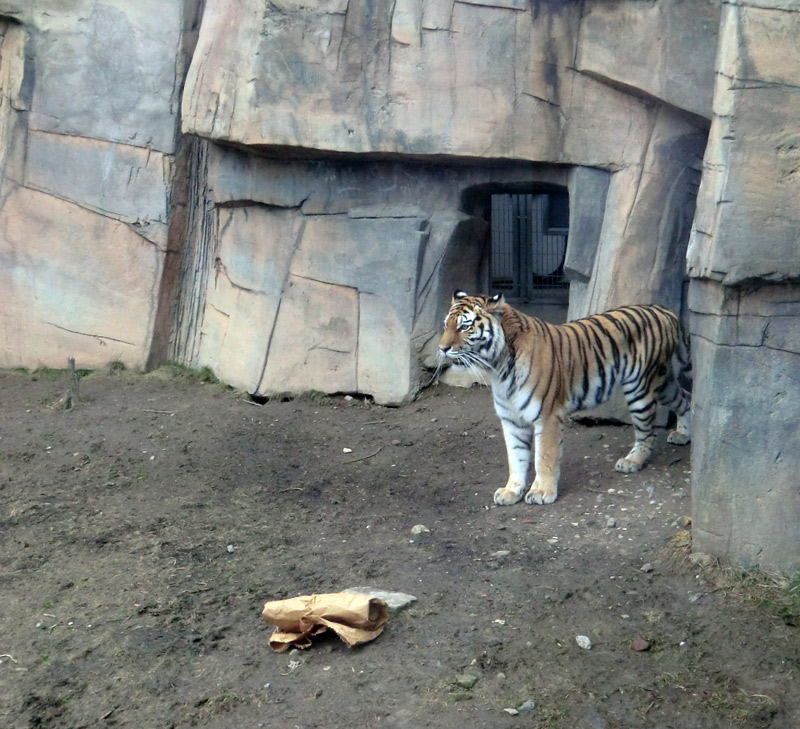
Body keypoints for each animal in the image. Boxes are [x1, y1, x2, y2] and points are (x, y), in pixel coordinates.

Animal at [434, 290, 692, 506]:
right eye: (446, 325)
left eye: (464, 327)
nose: (442, 348)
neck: (498, 368)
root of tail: (665, 310)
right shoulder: (511, 419)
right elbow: (516, 457)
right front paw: (511, 491)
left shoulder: (547, 415)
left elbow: (544, 457)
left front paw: (541, 492)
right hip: (663, 383)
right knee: (686, 399)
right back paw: (683, 435)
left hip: (640, 388)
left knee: (647, 432)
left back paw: (632, 461)